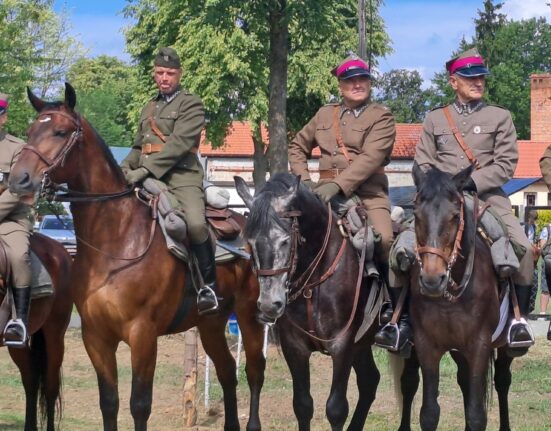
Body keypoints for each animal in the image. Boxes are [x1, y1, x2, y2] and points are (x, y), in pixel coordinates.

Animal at [9, 84, 266, 431]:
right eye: (30, 131)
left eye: (60, 132)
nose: (17, 179)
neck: (116, 241)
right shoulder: (96, 337)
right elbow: (109, 402)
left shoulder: (143, 336)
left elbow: (139, 404)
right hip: (211, 324)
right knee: (227, 372)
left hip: (250, 315)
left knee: (254, 370)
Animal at [235, 175, 382, 431]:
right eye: (250, 243)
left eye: (285, 241)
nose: (269, 305)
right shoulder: (295, 347)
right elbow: (303, 405)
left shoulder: (342, 345)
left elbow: (336, 409)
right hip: (363, 344)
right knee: (369, 381)